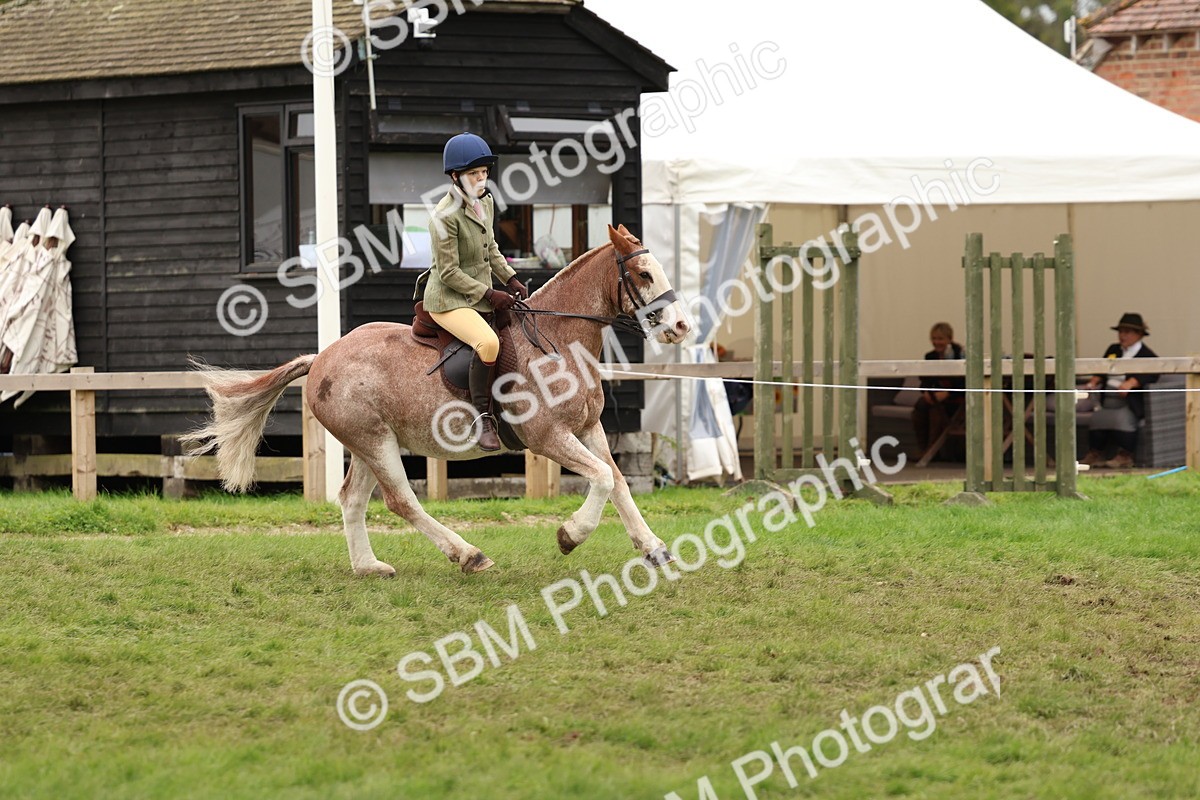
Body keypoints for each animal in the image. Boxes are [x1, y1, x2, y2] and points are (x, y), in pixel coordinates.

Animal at [183, 224, 692, 577]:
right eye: (644, 273)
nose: (681, 326)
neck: (557, 337)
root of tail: (322, 356)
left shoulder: (588, 427)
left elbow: (618, 480)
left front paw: (653, 548)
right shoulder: (547, 435)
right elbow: (602, 478)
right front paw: (570, 536)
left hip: (369, 443)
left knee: (352, 500)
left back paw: (368, 567)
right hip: (375, 442)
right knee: (402, 501)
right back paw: (468, 555)